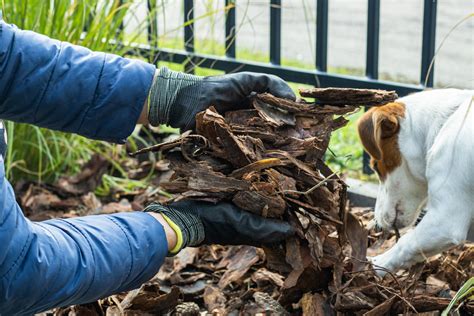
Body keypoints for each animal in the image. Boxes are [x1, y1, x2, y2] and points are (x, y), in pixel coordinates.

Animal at [358, 89, 472, 274]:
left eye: (375, 167)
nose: (377, 224)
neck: (446, 122)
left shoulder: (445, 220)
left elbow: (406, 244)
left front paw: (376, 265)